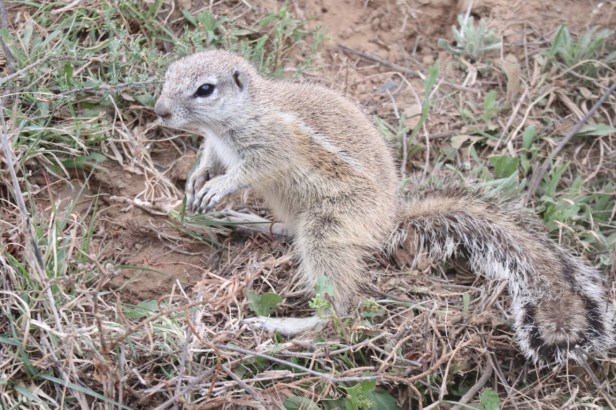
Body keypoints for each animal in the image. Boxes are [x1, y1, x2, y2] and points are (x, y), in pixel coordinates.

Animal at [154, 49, 613, 364]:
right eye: (169, 74)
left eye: (205, 89)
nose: (159, 111)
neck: (238, 116)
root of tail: (389, 221)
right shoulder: (216, 145)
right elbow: (209, 160)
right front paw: (198, 181)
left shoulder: (271, 145)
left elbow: (254, 168)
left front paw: (220, 187)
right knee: (291, 236)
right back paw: (247, 222)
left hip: (329, 227)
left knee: (338, 309)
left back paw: (288, 323)